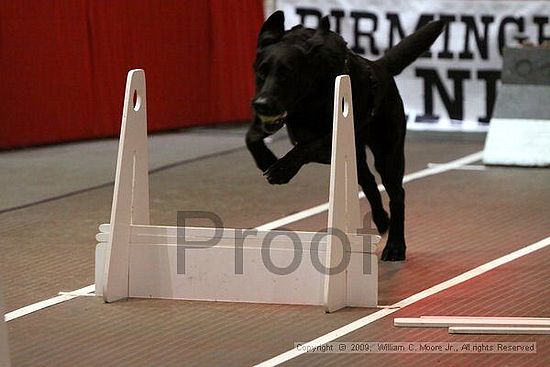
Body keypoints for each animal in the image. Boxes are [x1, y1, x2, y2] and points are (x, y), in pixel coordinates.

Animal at [248, 12, 446, 262]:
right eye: (261, 73)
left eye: (286, 75)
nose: (262, 104)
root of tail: (379, 66)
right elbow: (252, 137)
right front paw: (267, 160)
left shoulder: (328, 141)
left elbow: (306, 146)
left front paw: (281, 169)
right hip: (355, 150)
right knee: (369, 181)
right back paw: (381, 219)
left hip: (387, 154)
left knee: (397, 194)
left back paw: (395, 246)